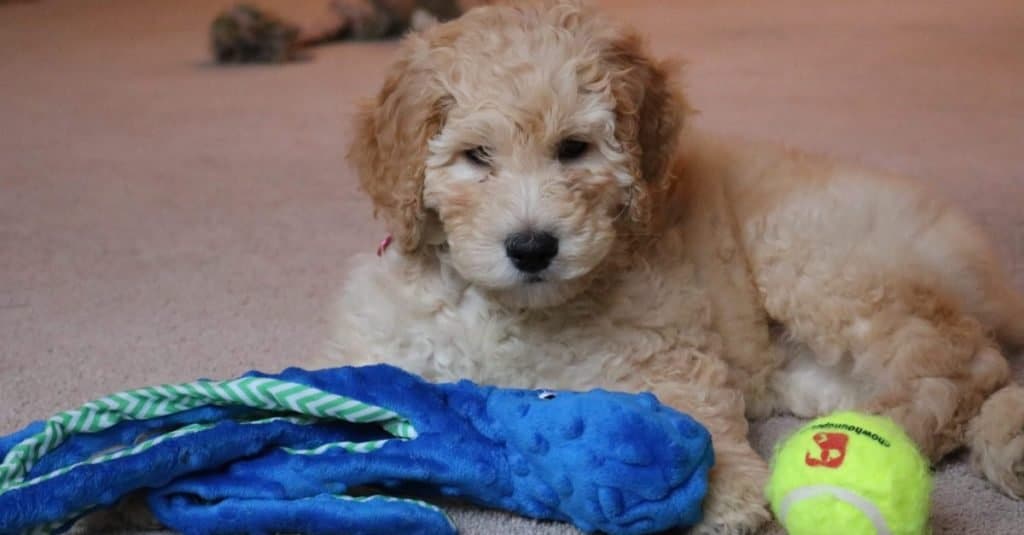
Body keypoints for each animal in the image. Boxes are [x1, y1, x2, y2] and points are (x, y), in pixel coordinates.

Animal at [327, 0, 1024, 528]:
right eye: (476, 157)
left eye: (573, 149)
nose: (531, 247)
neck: (521, 310)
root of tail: (979, 261)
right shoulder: (388, 335)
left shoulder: (662, 336)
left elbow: (694, 404)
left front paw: (728, 491)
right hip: (807, 356)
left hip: (819, 261)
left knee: (965, 360)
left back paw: (885, 431)